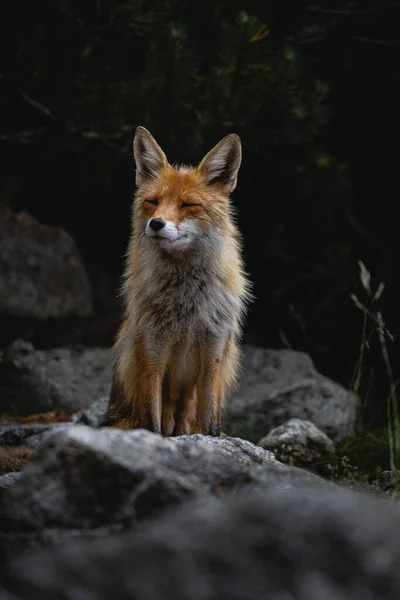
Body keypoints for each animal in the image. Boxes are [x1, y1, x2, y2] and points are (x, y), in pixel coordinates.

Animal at [102, 127, 253, 436]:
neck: (186, 308)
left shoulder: (213, 359)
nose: (156, 223)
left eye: (189, 205)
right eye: (153, 202)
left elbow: (212, 427)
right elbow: (151, 424)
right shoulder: (152, 360)